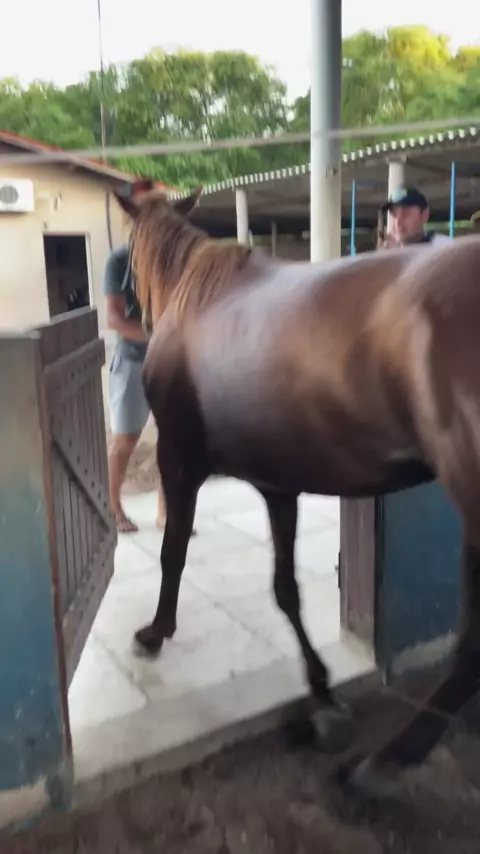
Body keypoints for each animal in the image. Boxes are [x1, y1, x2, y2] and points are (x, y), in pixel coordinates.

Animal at [114, 184, 480, 798]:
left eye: (129, 250)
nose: (132, 311)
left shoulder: (179, 461)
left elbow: (174, 551)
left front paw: (156, 631)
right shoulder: (276, 483)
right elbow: (286, 588)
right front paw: (322, 689)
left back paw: (383, 762)